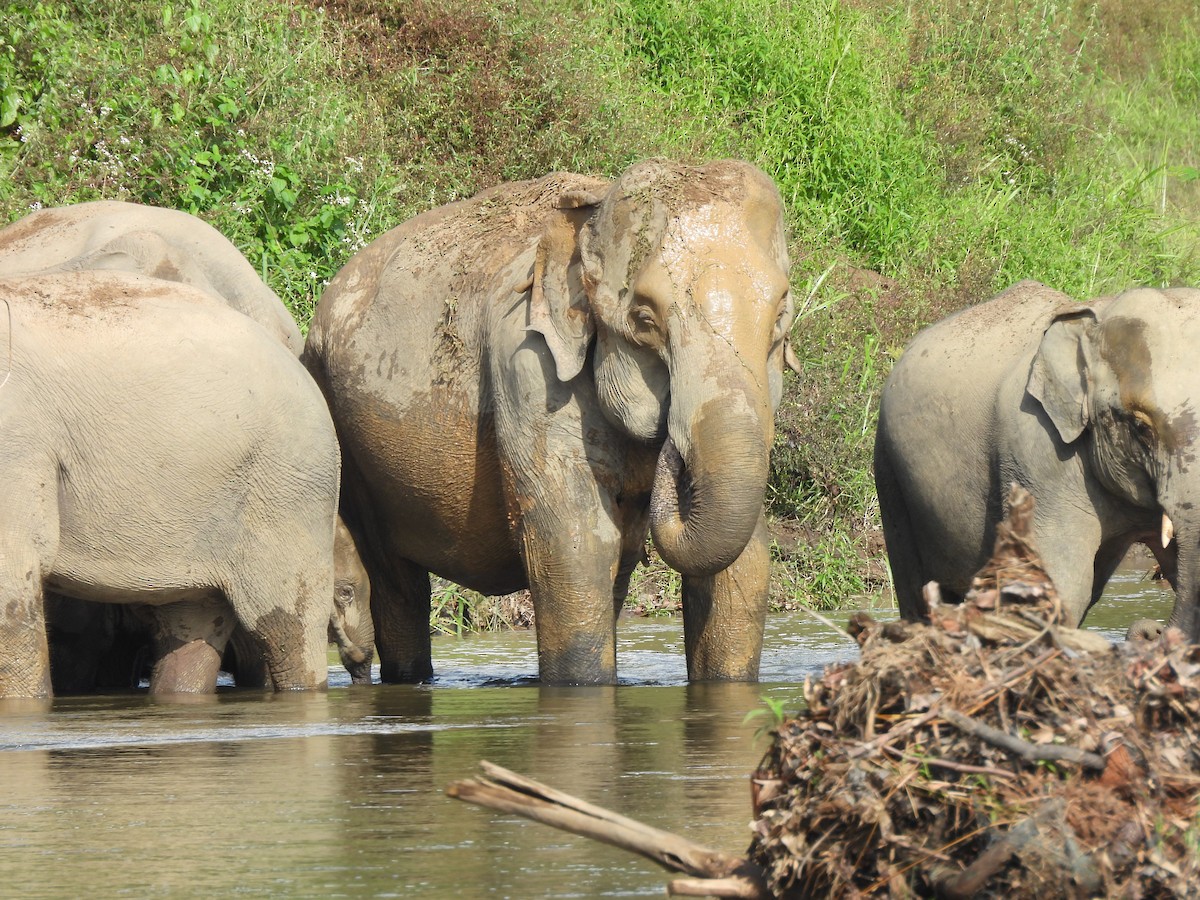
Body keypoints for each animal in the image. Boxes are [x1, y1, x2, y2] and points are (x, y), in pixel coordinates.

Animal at [304, 158, 794, 685]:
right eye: (644, 318)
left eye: (779, 318)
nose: (673, 453)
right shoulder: (527, 366)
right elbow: (577, 545)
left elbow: (745, 561)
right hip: (348, 441)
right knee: (397, 583)